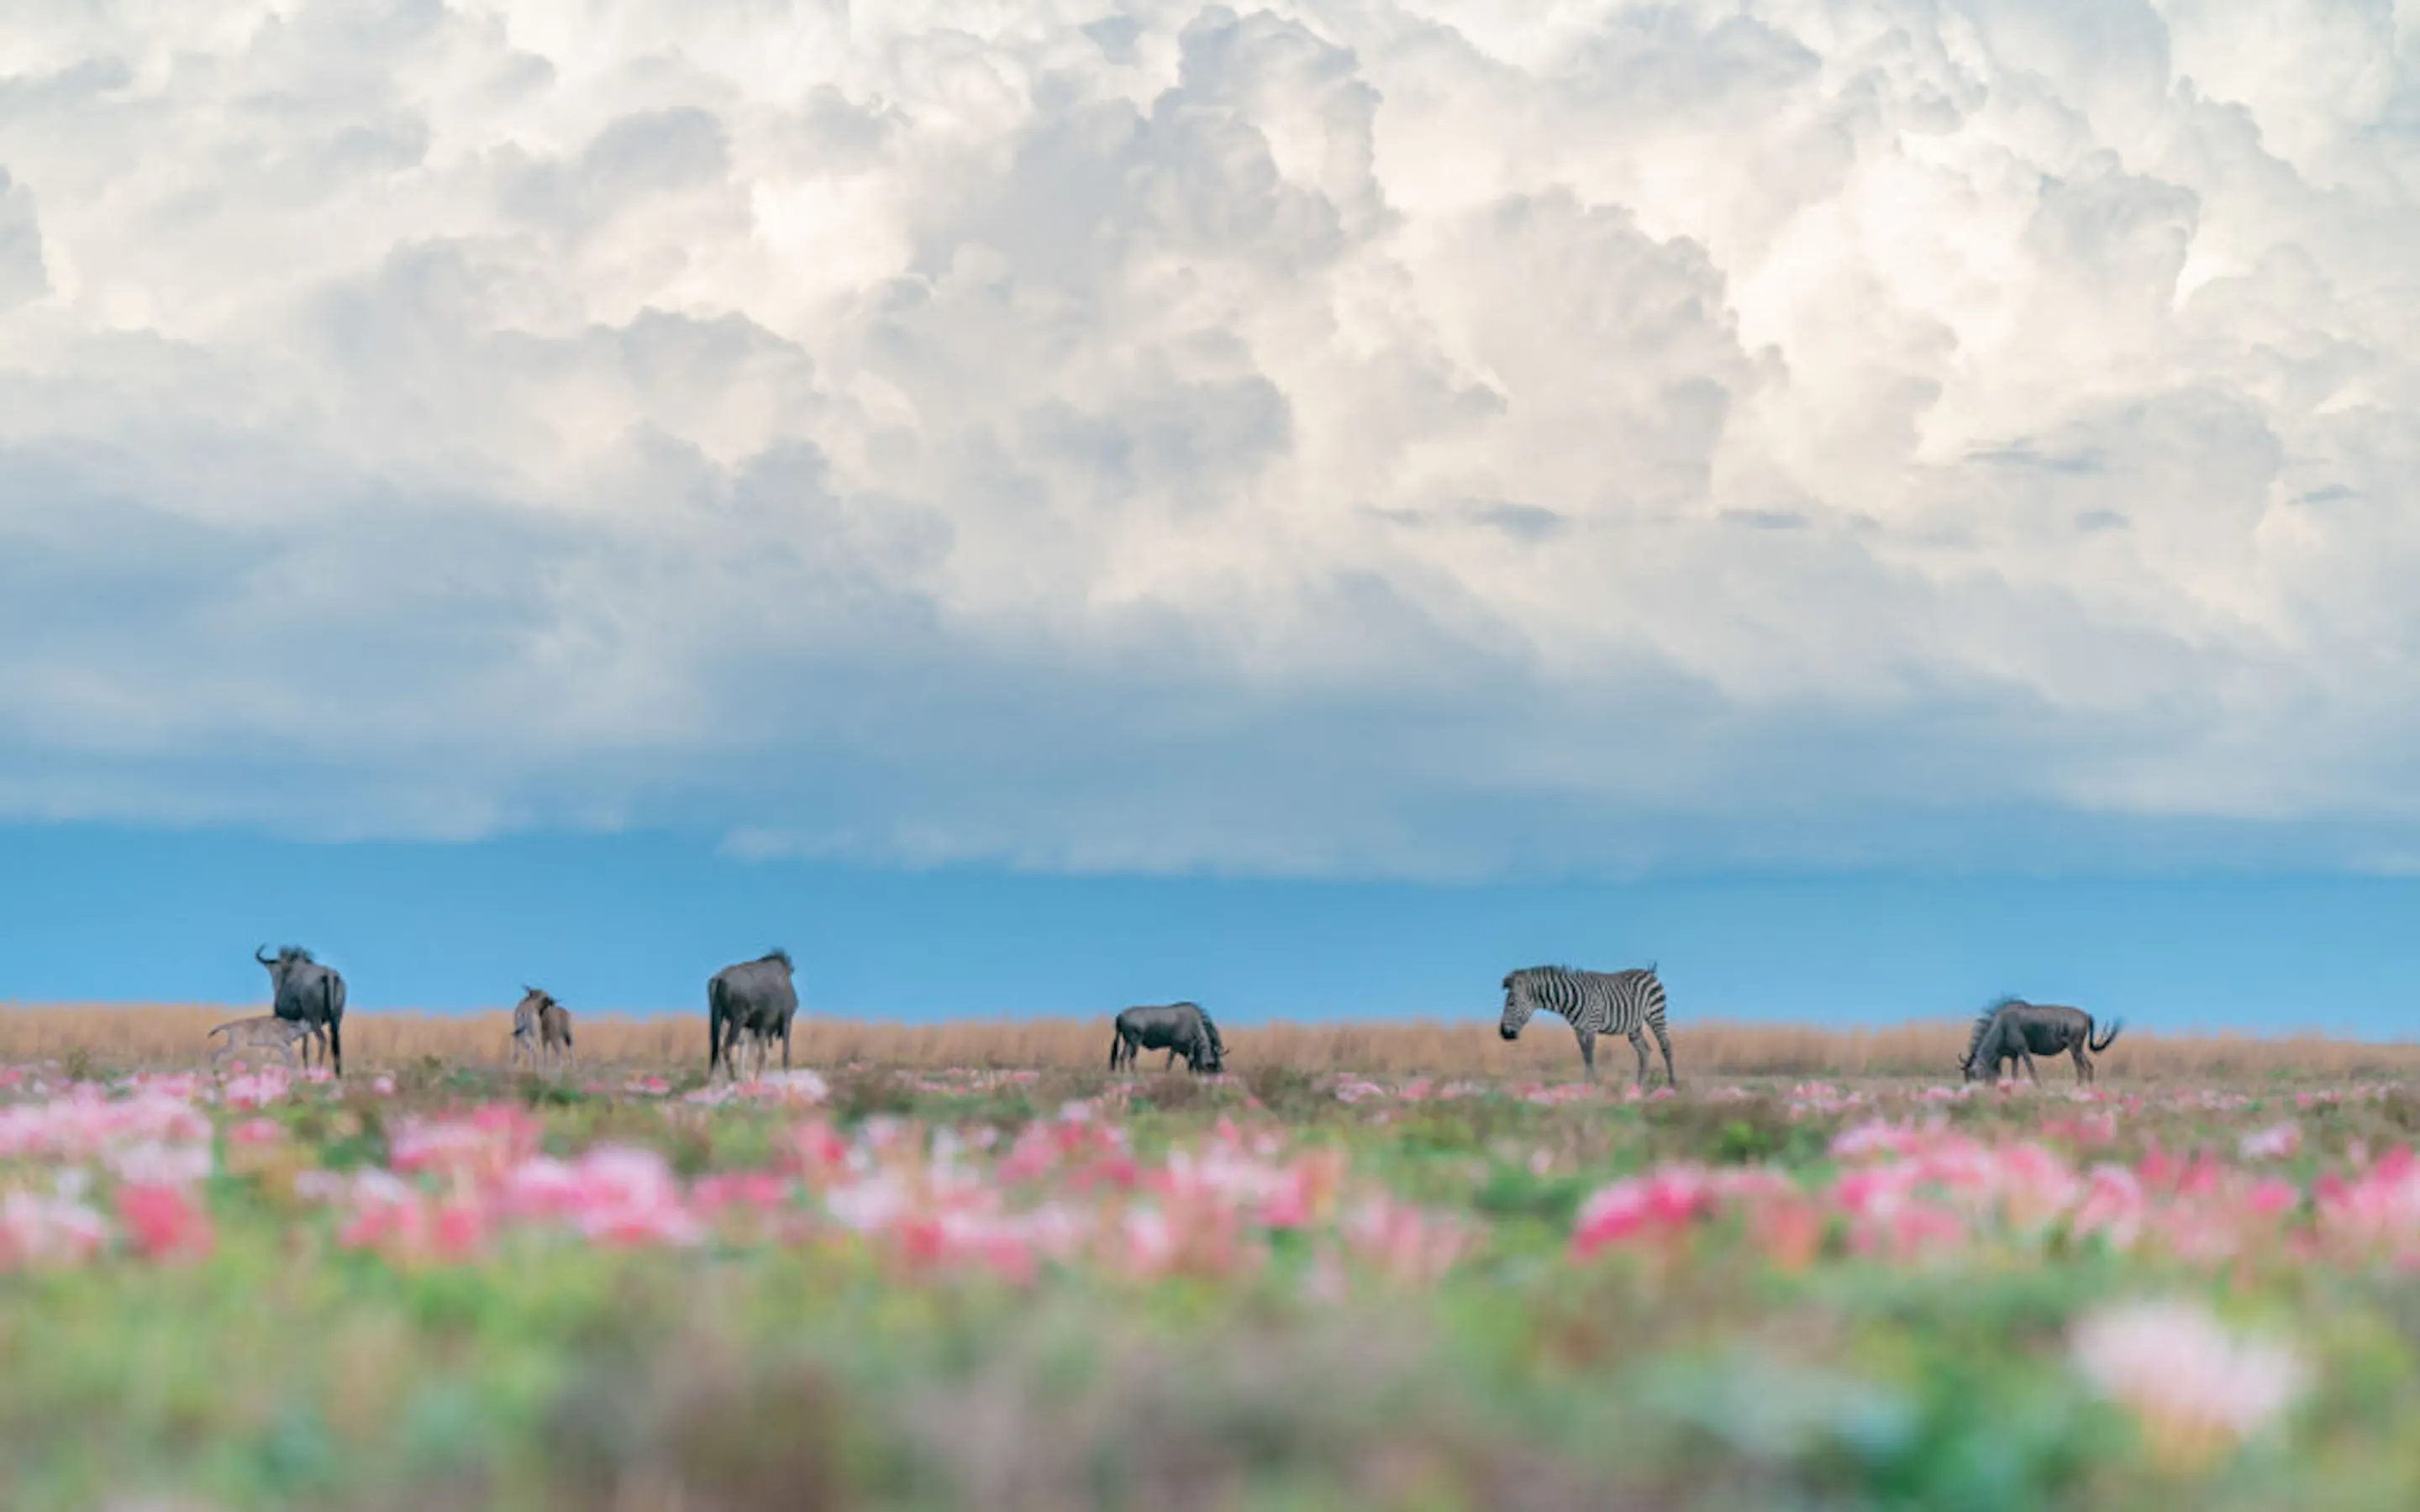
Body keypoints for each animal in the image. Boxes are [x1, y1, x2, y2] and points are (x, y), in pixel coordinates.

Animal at [1498, 965, 1678, 1087]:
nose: (1503, 1034)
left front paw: (1591, 1085)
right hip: (1635, 1025)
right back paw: (1639, 1087)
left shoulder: (1591, 1026)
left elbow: (1590, 1056)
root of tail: (1649, 972)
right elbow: (1585, 1055)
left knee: (1666, 1046)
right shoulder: (1578, 1030)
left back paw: (1672, 1084)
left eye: (1511, 1003)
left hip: (1656, 1014)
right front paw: (1587, 1084)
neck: (1570, 999)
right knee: (1645, 1052)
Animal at [1960, 998, 2122, 1084]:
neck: (2002, 1025)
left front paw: (2038, 1087)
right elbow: (2014, 1074)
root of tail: (2087, 1016)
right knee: (2089, 1066)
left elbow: (2032, 1070)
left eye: (1972, 1076)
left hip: (2074, 1048)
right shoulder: (2013, 1055)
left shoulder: (2023, 1049)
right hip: (2078, 1049)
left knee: (2081, 1069)